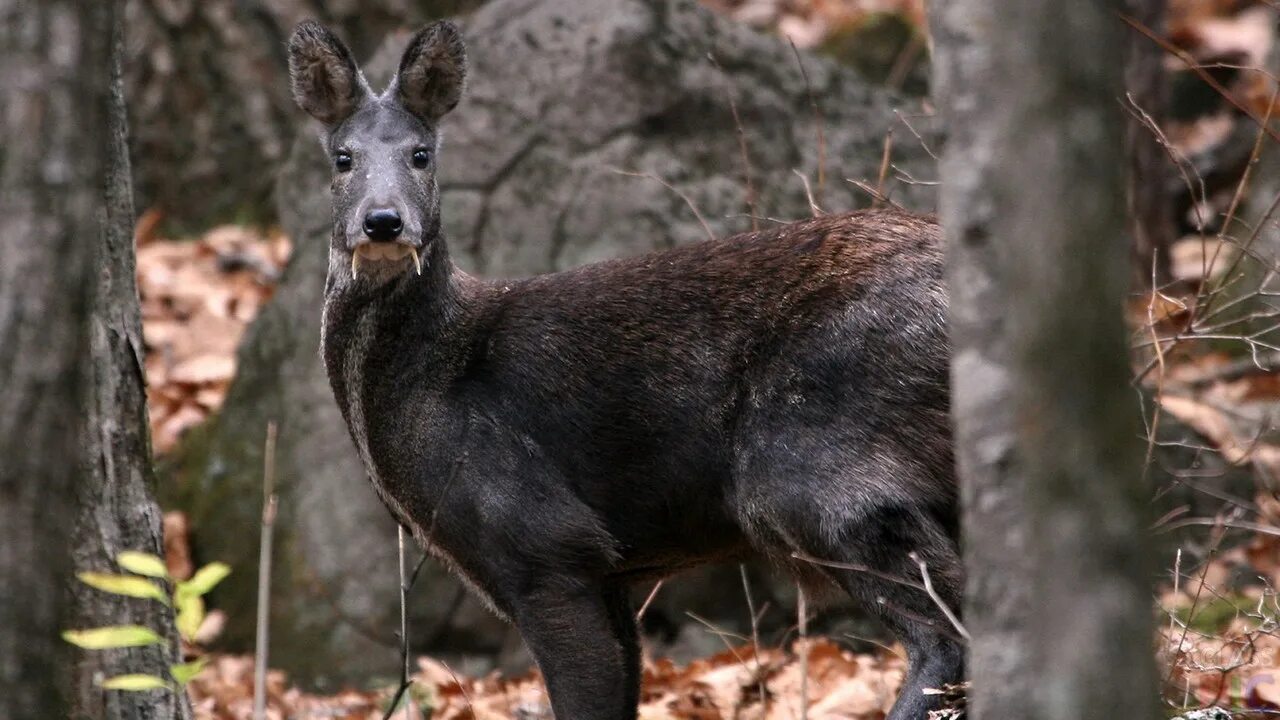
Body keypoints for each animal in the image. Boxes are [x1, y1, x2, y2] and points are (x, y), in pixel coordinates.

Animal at [290, 20, 962, 717]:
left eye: (422, 154)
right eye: (343, 158)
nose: (383, 221)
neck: (438, 377)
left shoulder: (546, 544)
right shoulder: (604, 572)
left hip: (815, 465)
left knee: (944, 633)